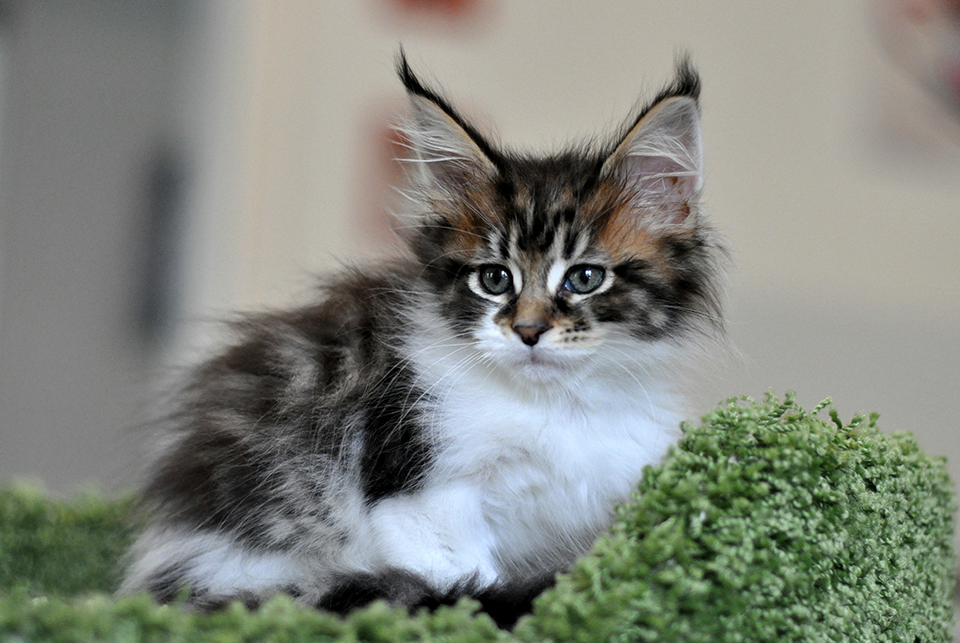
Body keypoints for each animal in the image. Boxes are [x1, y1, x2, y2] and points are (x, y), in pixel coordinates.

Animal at [124, 55, 728, 628]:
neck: (554, 406)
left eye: (584, 278)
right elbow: (458, 584)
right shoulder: (420, 492)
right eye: (495, 279)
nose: (528, 331)